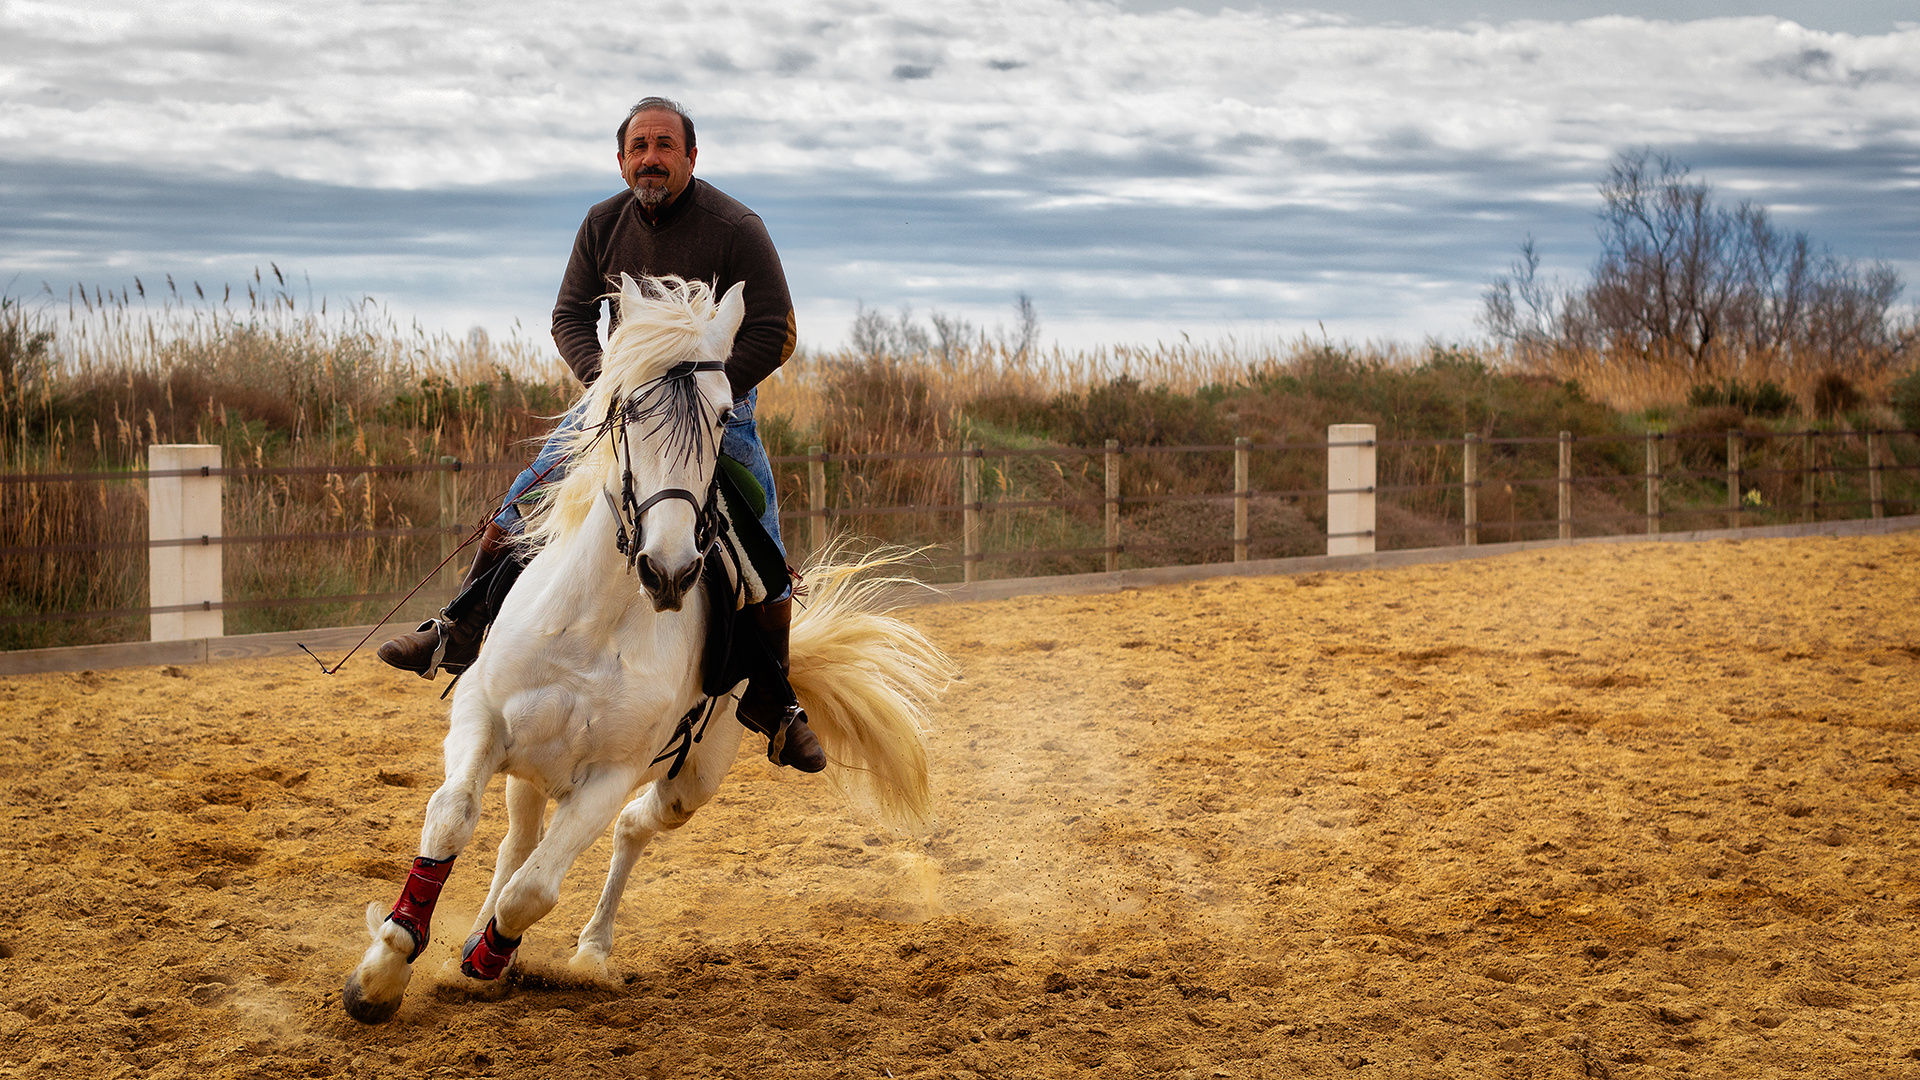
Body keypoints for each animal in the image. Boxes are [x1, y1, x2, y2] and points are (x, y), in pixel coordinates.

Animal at [343, 272, 952, 1022]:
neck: (593, 624)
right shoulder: (482, 721)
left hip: (690, 779)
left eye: (721, 417)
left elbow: (535, 891)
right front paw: (383, 971)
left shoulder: (612, 772)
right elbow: (453, 820)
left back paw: (586, 953)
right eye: (629, 410)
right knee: (517, 841)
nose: (669, 570)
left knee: (627, 830)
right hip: (531, 765)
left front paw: (488, 953)